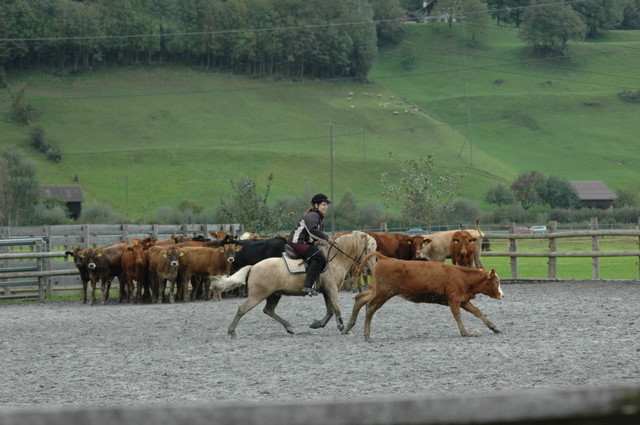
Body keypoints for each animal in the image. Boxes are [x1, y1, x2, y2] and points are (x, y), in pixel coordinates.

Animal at [212, 231, 377, 338]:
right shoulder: (331, 288)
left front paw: (318, 324)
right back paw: (232, 331)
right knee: (242, 309)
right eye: (369, 248)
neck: (335, 259)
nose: (373, 267)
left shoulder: (326, 290)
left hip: (274, 295)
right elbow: (336, 307)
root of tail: (253, 267)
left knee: (268, 310)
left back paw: (289, 327)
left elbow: (330, 310)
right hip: (258, 295)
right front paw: (342, 327)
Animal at [342, 252, 503, 341]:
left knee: (359, 299)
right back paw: (367, 334)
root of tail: (385, 259)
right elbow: (457, 315)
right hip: (384, 293)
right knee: (369, 307)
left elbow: (478, 312)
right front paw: (465, 332)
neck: (462, 276)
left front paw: (494, 328)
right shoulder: (454, 299)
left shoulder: (463, 300)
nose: (502, 295)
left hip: (375, 289)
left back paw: (348, 327)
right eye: (496, 281)